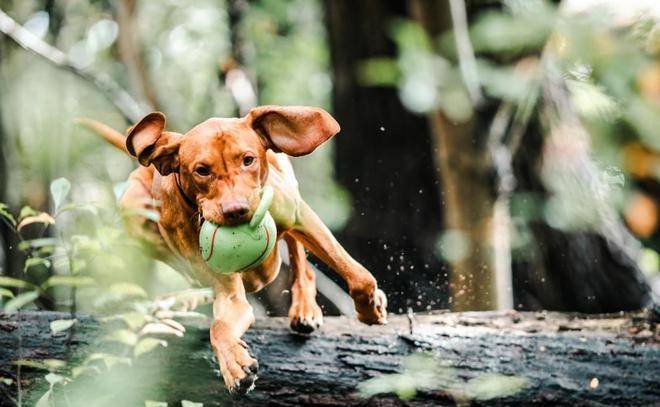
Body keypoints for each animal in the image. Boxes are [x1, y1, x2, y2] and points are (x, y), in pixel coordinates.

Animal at [80, 106, 386, 396]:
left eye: (248, 160)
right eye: (202, 170)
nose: (237, 210)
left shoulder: (300, 216)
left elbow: (359, 277)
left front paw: (370, 309)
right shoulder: (229, 293)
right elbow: (219, 326)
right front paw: (234, 365)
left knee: (300, 258)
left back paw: (304, 307)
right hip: (134, 209)